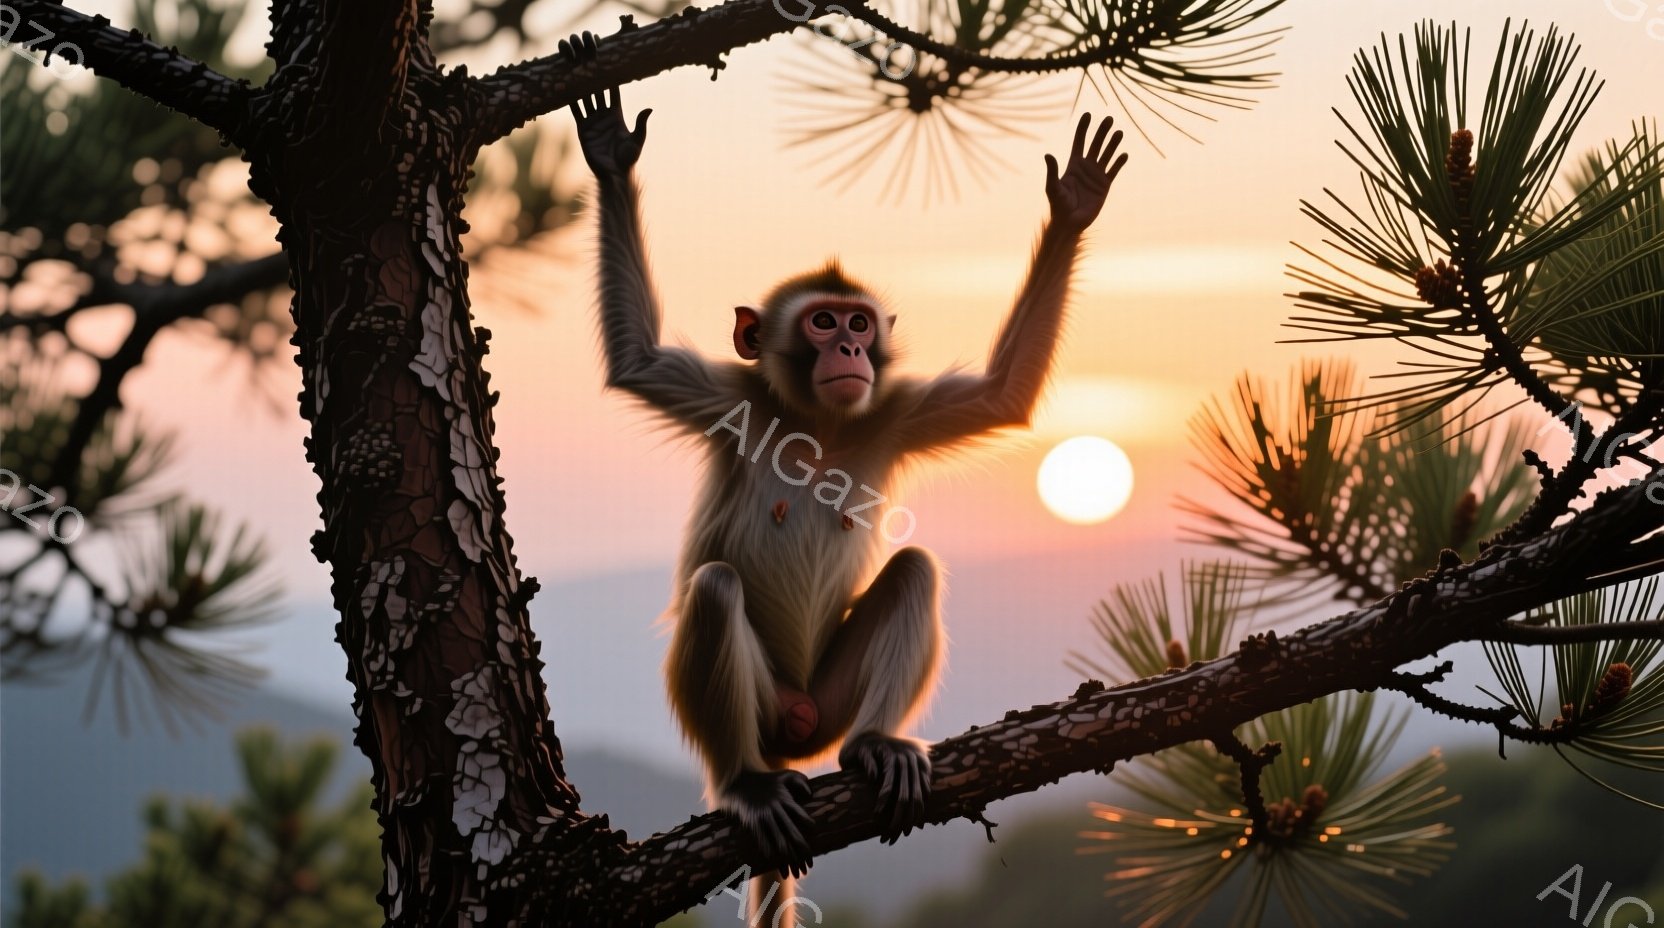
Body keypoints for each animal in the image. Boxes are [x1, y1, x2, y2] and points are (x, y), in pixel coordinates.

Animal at [562, 30, 1127, 922]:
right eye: (823, 322)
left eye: (860, 323)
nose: (853, 349)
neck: (821, 425)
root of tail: (794, 726)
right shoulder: (731, 395)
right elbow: (638, 361)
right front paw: (612, 161)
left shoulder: (889, 409)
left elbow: (1001, 396)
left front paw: (1072, 204)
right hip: (762, 709)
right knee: (716, 591)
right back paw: (745, 785)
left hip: (825, 704)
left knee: (914, 572)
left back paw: (874, 744)